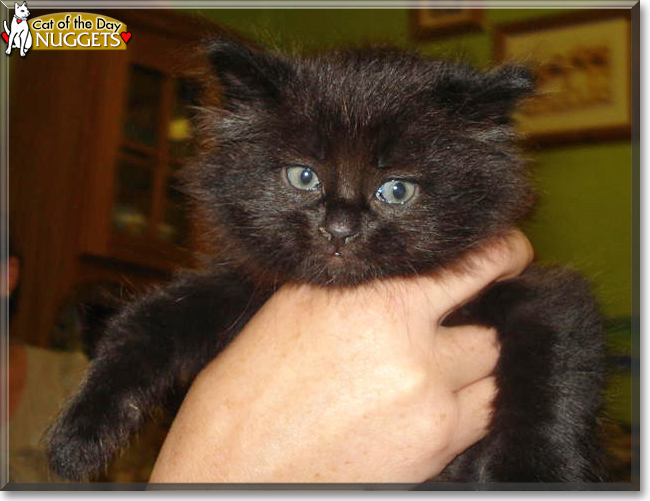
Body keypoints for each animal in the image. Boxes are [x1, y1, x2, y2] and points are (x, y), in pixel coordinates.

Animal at [45, 37, 604, 482]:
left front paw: (531, 471)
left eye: (396, 189)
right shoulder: (239, 286)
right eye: (303, 177)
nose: (339, 229)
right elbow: (146, 321)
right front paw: (79, 434)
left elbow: (546, 367)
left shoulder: (541, 293)